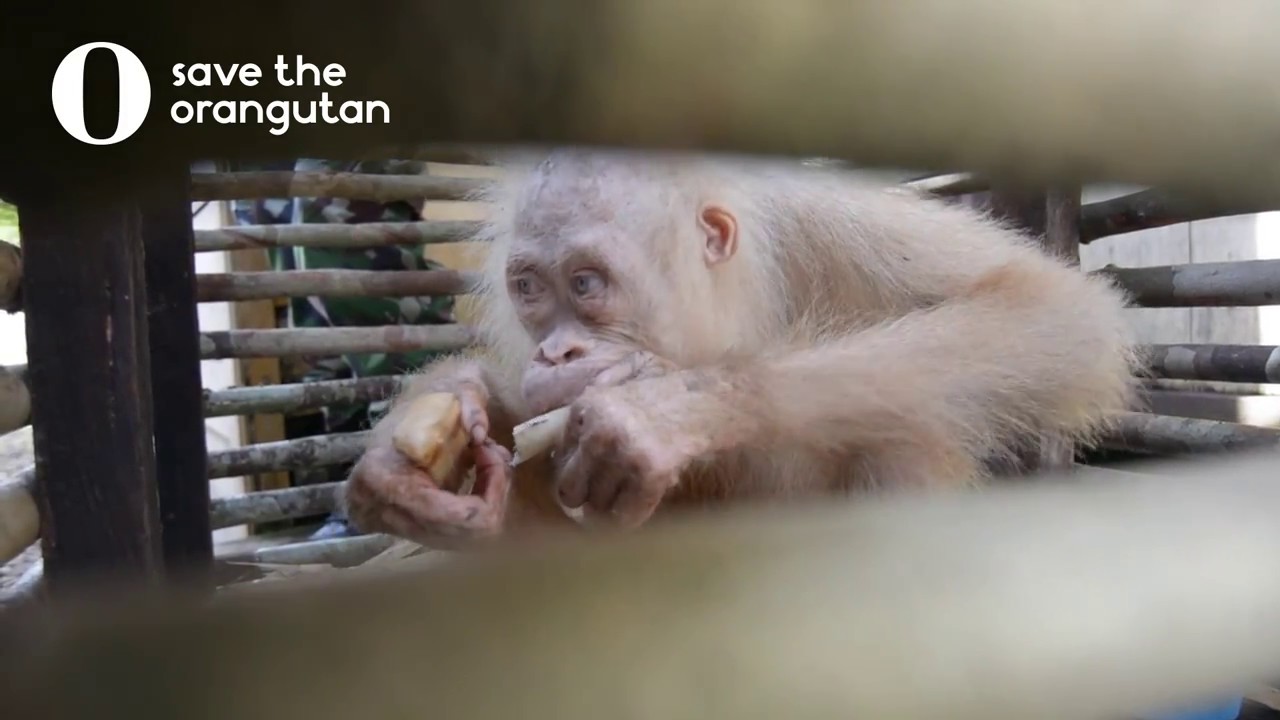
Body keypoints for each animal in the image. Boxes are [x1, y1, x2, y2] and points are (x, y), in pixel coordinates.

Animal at [339, 148, 1140, 547]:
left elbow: (1048, 309)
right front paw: (424, 441)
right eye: (531, 289)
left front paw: (672, 411)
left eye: (587, 283)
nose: (555, 355)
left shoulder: (830, 219)